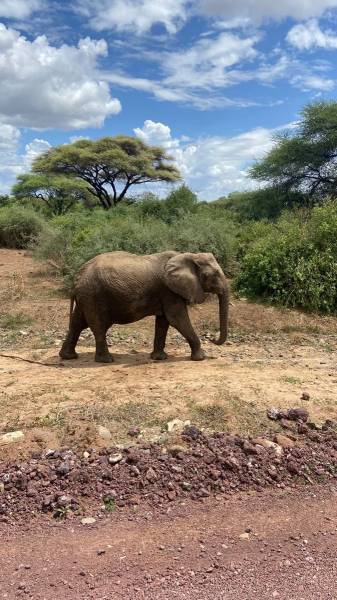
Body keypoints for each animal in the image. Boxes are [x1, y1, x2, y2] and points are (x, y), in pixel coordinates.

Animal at [59, 251, 228, 364]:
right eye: (214, 275)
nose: (212, 339)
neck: (189, 255)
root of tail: (76, 279)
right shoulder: (169, 291)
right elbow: (177, 319)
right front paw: (200, 358)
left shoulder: (166, 293)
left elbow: (163, 321)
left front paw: (159, 358)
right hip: (94, 296)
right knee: (98, 326)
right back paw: (106, 360)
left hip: (86, 297)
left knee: (77, 323)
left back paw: (68, 357)